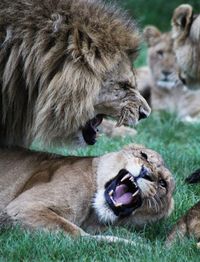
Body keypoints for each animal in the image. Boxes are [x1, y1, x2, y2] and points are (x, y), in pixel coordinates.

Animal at [0, 144, 174, 243]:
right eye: (144, 155)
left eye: (163, 183)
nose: (146, 173)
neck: (93, 214)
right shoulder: (24, 207)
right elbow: (79, 236)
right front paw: (133, 245)